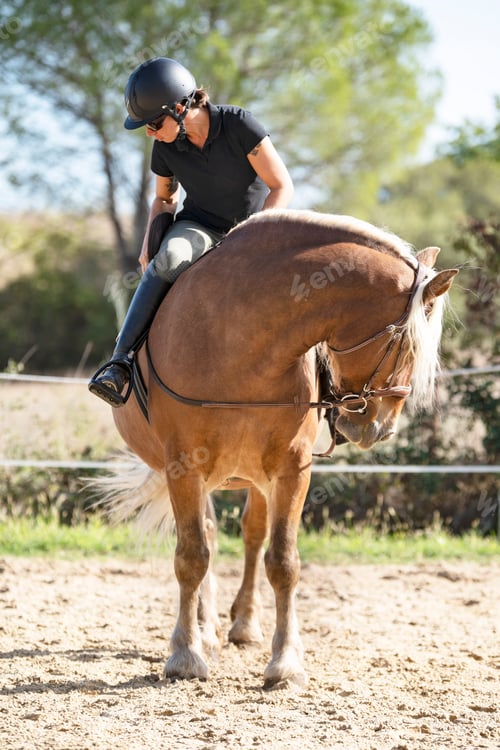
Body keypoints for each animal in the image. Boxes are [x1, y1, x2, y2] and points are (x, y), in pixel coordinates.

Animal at [101, 209, 457, 688]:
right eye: (407, 344)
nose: (379, 428)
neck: (240, 339)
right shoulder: (184, 467)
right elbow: (192, 556)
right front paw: (186, 656)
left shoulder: (292, 470)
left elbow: (283, 561)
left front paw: (285, 662)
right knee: (206, 537)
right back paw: (206, 630)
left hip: (252, 475)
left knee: (252, 535)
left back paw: (243, 625)